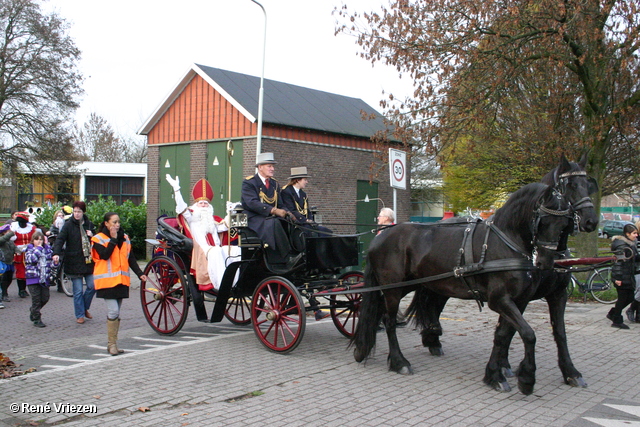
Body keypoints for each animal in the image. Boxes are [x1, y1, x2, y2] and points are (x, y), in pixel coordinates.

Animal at [350, 180, 576, 394]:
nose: (547, 261)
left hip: (406, 284)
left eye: (565, 223)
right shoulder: (499, 300)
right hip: (394, 287)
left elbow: (505, 335)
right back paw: (399, 362)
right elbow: (528, 334)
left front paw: (495, 374)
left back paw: (365, 347)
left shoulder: (519, 301)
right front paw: (526, 379)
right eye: (543, 220)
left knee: (379, 312)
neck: (504, 241)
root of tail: (379, 237)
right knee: (389, 321)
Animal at [410, 154, 600, 394]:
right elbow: (511, 332)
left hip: (442, 284)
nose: (591, 221)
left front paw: (569, 371)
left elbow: (553, 332)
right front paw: (507, 373)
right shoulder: (507, 298)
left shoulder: (553, 295)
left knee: (434, 305)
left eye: (588, 184)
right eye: (570, 185)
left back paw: (432, 339)